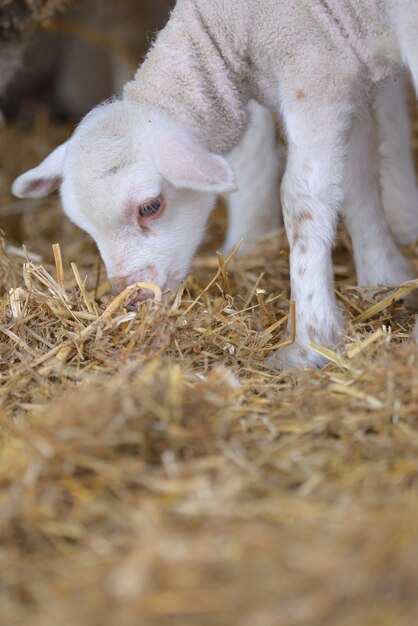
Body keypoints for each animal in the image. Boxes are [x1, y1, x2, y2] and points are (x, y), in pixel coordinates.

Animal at [10, 0, 418, 368]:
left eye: (150, 207)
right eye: (86, 228)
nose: (132, 297)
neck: (231, 23)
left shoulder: (315, 70)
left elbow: (303, 199)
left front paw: (311, 342)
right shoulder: (346, 73)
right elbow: (357, 178)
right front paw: (384, 278)